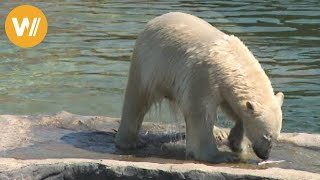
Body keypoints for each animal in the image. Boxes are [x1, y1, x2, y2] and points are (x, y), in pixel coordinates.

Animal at [114, 12, 284, 162]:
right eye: (266, 136)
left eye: (276, 137)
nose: (265, 156)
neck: (229, 60)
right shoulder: (204, 76)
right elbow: (201, 113)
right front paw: (220, 156)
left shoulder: (223, 86)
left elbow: (234, 108)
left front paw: (236, 143)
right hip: (151, 64)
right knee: (137, 99)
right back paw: (129, 142)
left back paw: (218, 132)